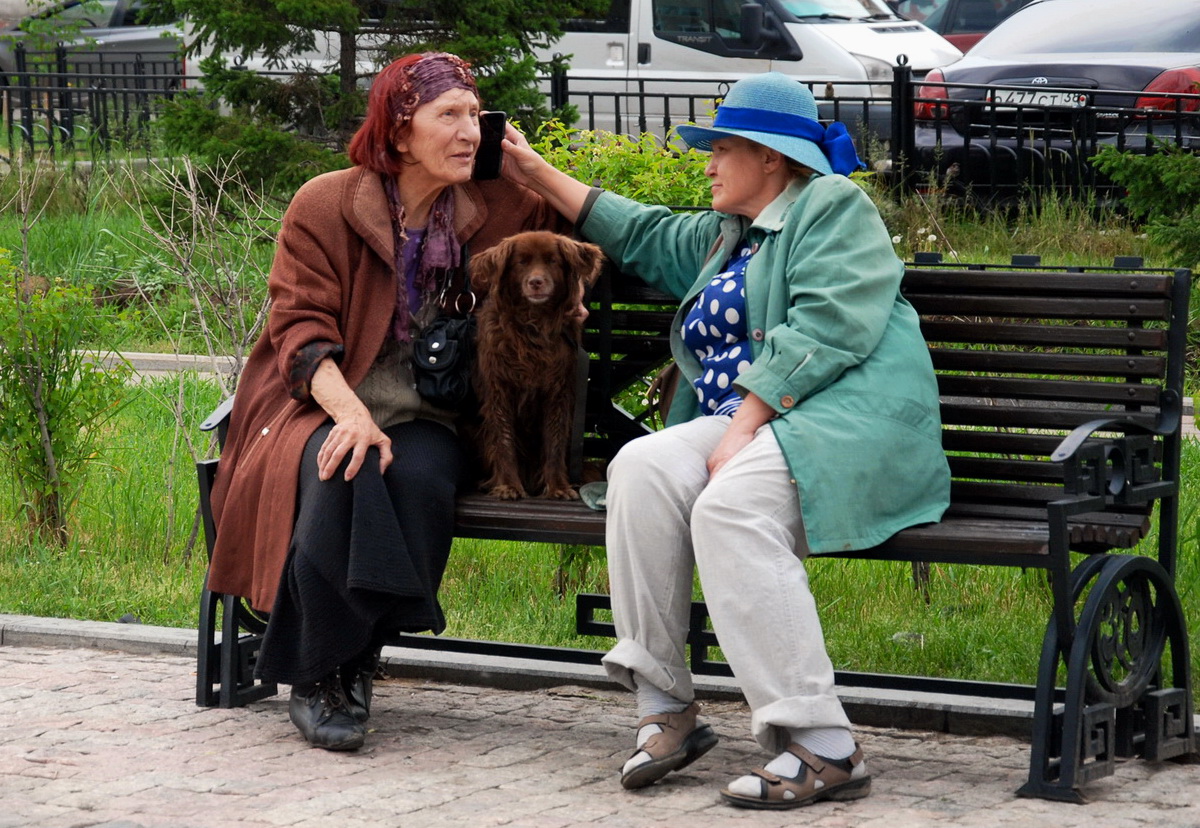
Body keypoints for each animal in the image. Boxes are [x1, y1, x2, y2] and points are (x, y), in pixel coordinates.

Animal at [465, 229, 600, 496]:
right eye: (522, 262)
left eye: (552, 261)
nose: (536, 282)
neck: (533, 324)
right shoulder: (499, 389)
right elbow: (504, 440)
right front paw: (508, 485)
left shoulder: (558, 391)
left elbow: (555, 443)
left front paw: (558, 486)